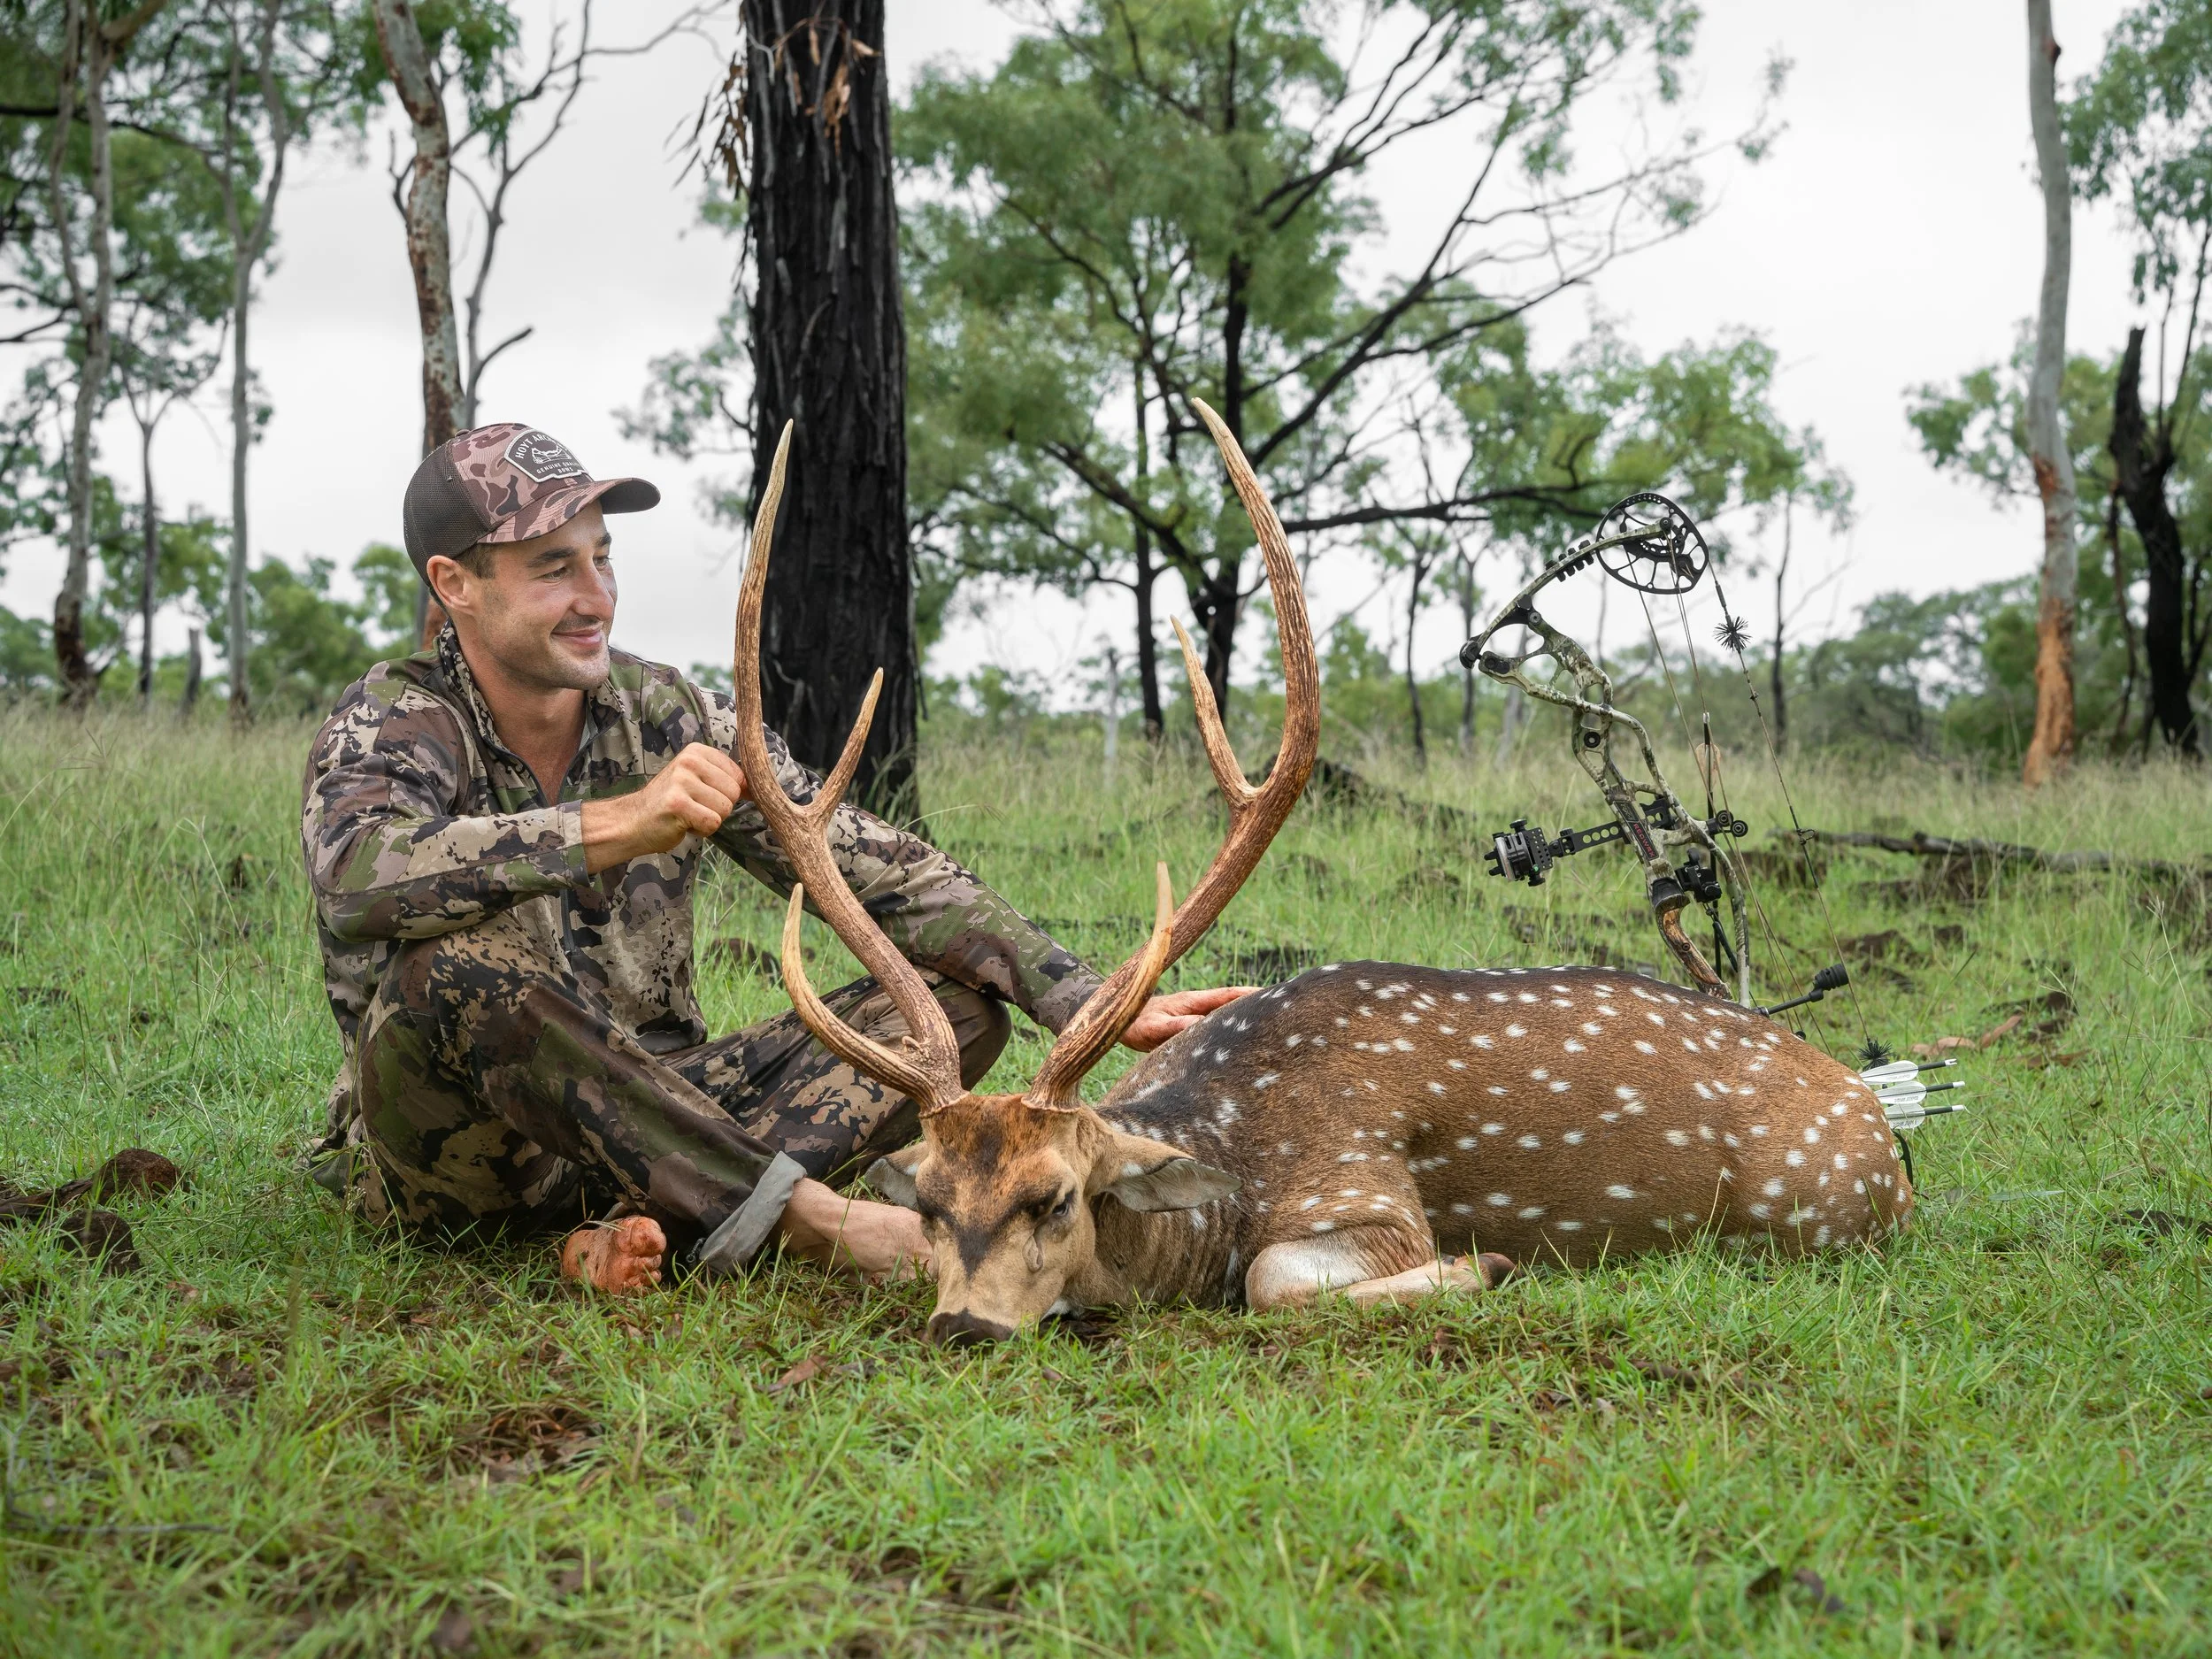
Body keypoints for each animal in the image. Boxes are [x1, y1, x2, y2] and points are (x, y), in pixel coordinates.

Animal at [734, 409, 1915, 1346]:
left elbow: (1271, 1278)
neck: (1228, 1162)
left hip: (1823, 1208)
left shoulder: (1368, 1191)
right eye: (929, 1202)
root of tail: (1891, 1131)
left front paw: (1483, 1263)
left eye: (1053, 1197)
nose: (964, 1326)